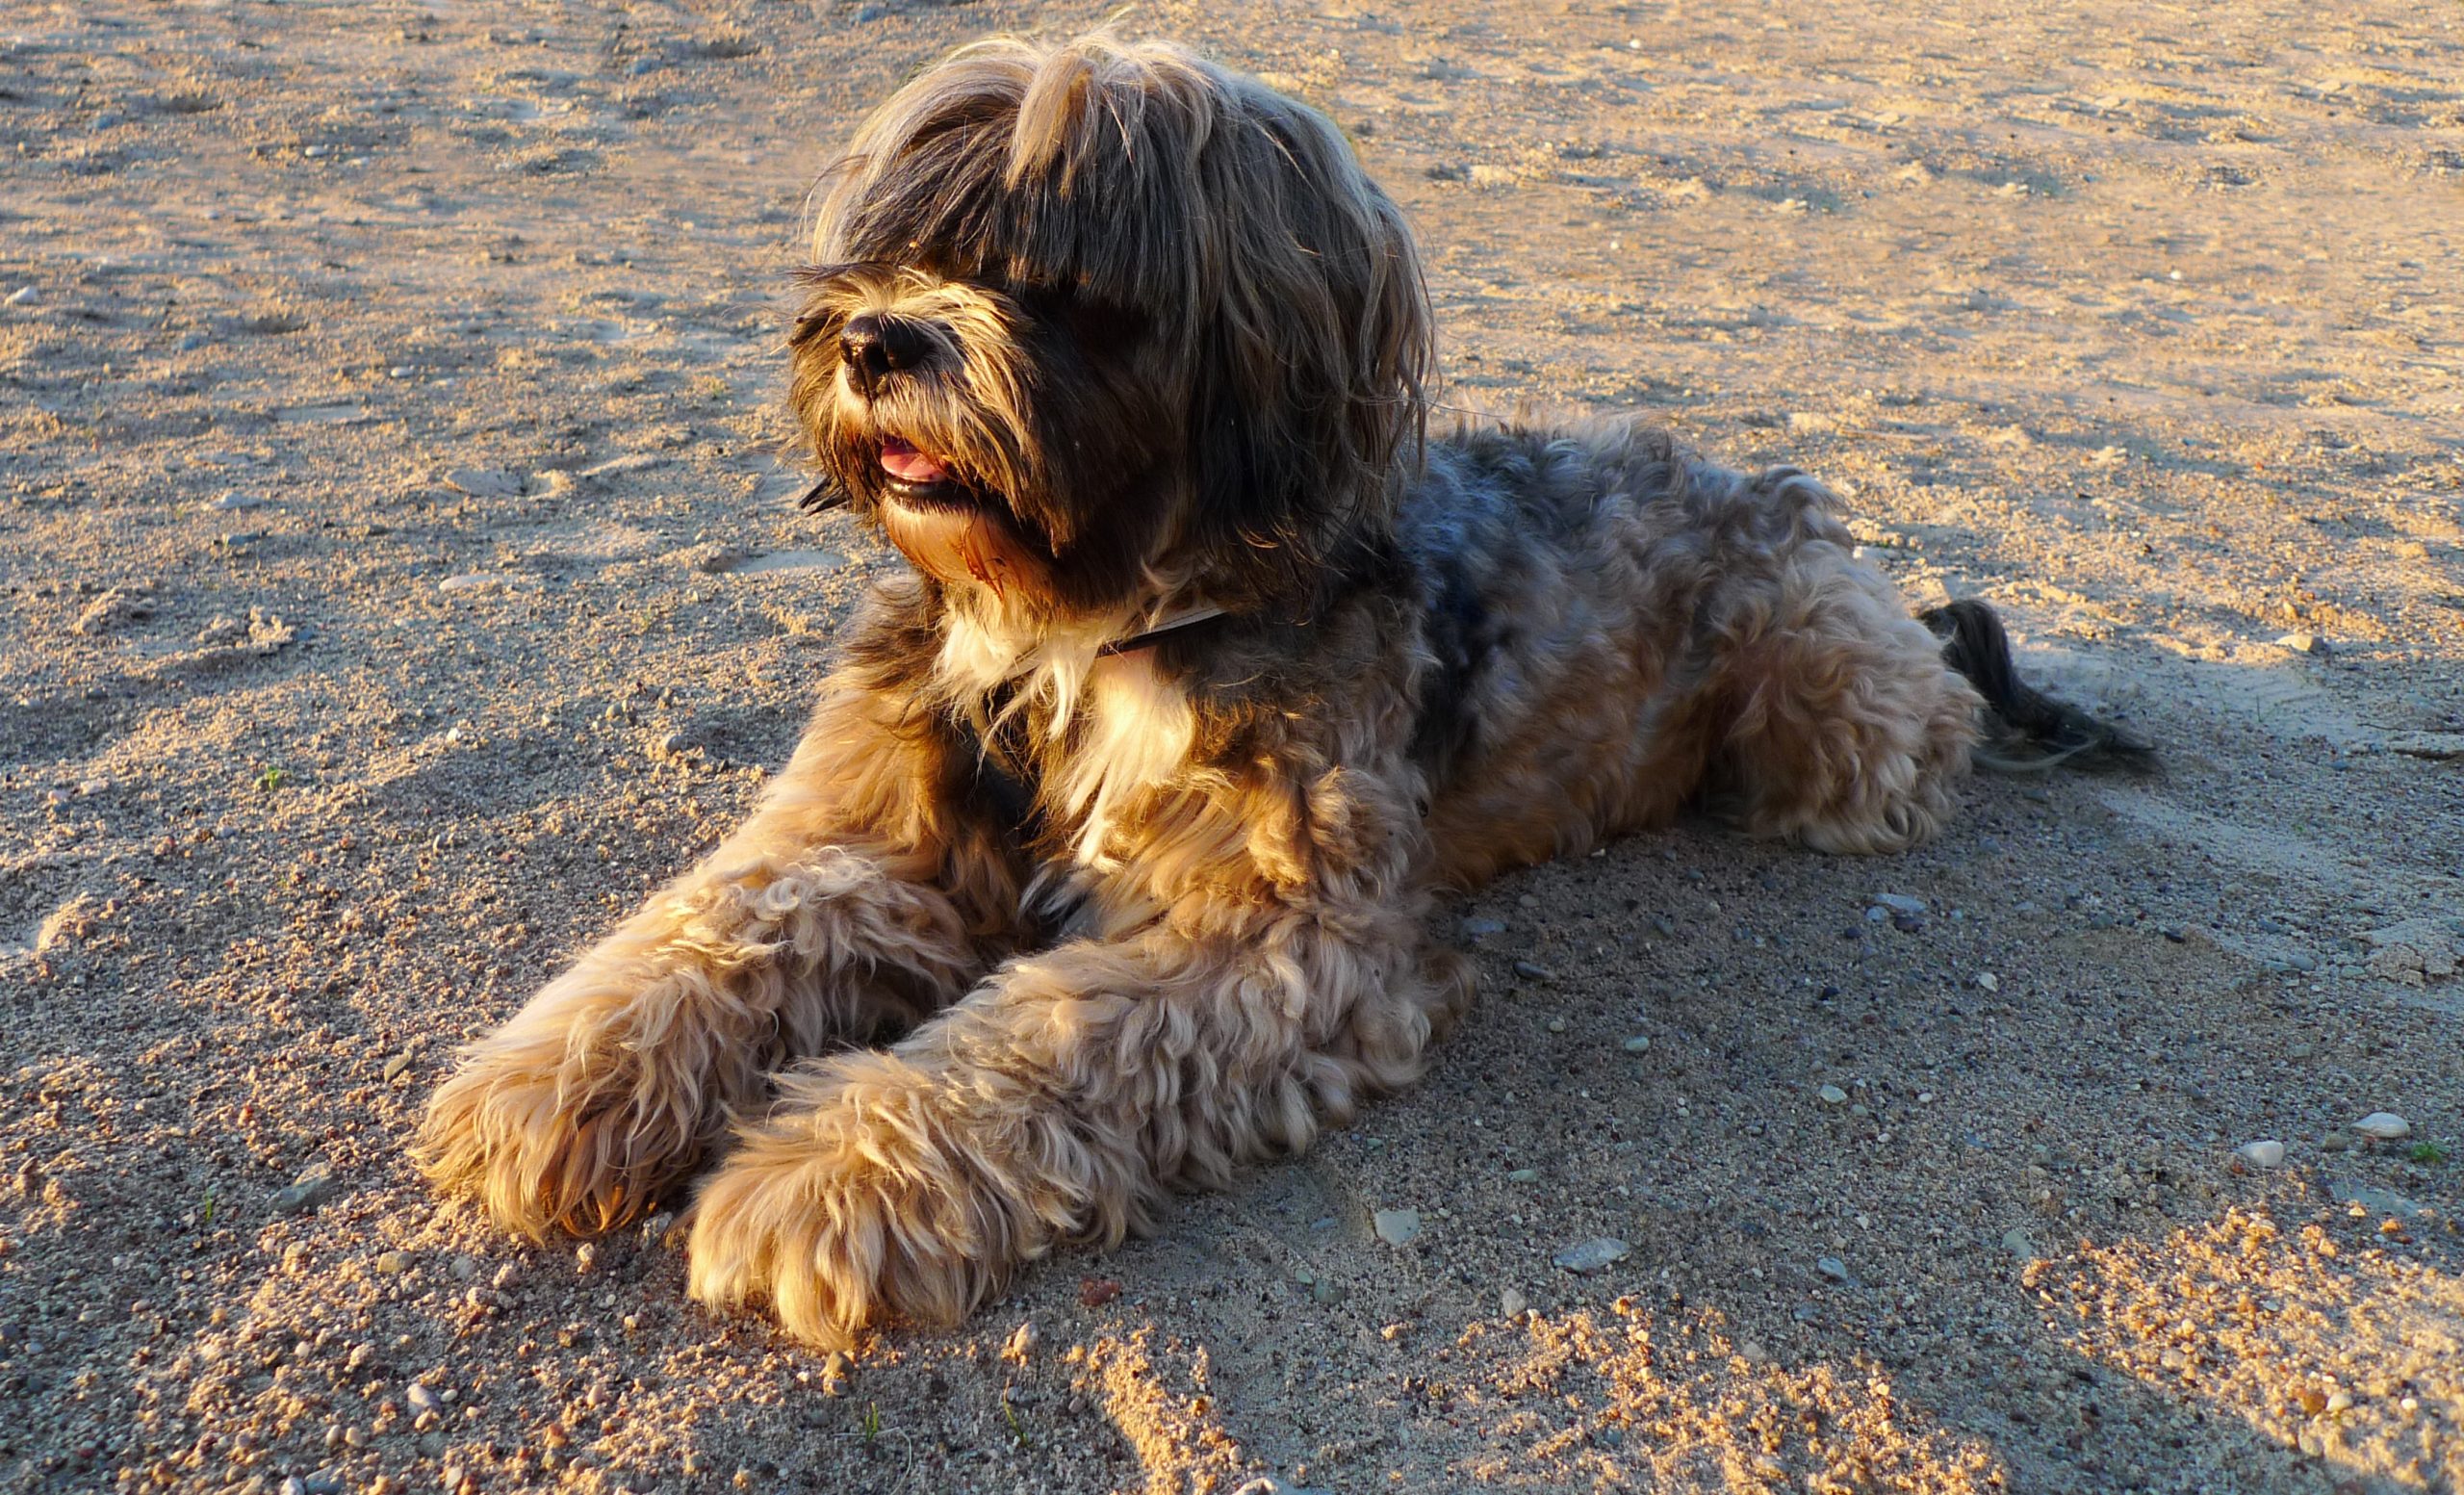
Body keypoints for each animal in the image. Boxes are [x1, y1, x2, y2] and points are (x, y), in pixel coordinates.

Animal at [414, 32, 2148, 1350]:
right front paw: (555, 1079)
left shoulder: (1279, 939)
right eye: (903, 246)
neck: (1079, 622)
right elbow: (721, 921)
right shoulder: (885, 831)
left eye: (1060, 282)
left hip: (1829, 709)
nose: (877, 337)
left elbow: (1039, 1031)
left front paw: (829, 1178)